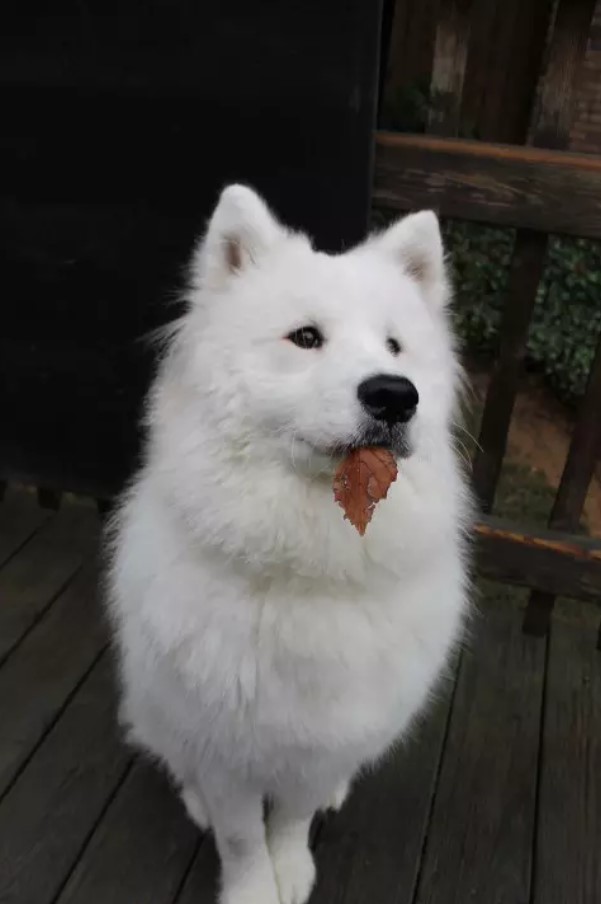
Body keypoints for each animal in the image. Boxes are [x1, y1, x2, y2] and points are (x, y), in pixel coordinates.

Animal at [105, 184, 472, 904]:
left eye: (395, 346)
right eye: (305, 338)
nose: (394, 395)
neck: (311, 561)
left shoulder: (322, 740)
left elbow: (291, 819)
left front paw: (292, 867)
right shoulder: (224, 748)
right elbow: (243, 835)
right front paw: (254, 890)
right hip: (157, 702)